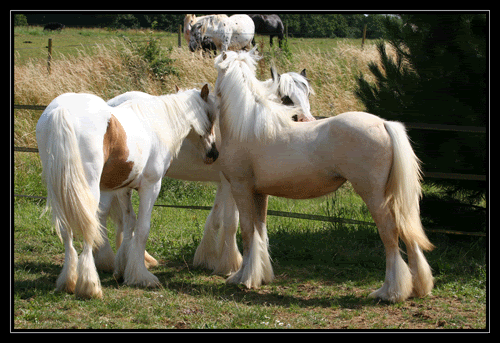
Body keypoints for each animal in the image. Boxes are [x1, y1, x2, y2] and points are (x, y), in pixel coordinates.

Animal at [34, 85, 215, 298]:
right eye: (211, 117)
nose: (214, 154)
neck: (157, 123)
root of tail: (61, 111)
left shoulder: (123, 188)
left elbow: (129, 222)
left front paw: (123, 268)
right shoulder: (151, 186)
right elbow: (143, 228)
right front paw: (142, 276)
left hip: (60, 191)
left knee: (66, 231)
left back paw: (68, 281)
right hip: (87, 189)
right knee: (88, 228)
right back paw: (90, 286)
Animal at [214, 49, 434, 302]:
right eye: (286, 97)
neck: (248, 123)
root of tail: (383, 124)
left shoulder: (241, 189)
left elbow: (248, 232)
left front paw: (244, 278)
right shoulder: (260, 194)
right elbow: (260, 231)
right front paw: (260, 275)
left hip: (374, 196)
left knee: (390, 235)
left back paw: (389, 291)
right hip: (395, 197)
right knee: (408, 233)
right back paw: (418, 288)